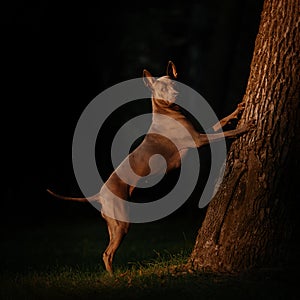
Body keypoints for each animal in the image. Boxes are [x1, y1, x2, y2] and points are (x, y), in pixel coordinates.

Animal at [47, 61, 253, 274]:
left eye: (174, 83)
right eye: (162, 89)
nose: (177, 94)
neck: (168, 112)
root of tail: (99, 194)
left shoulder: (200, 133)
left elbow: (220, 122)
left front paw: (238, 111)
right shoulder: (198, 139)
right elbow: (224, 133)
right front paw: (243, 128)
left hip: (113, 223)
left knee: (106, 250)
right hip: (122, 223)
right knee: (107, 253)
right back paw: (114, 277)